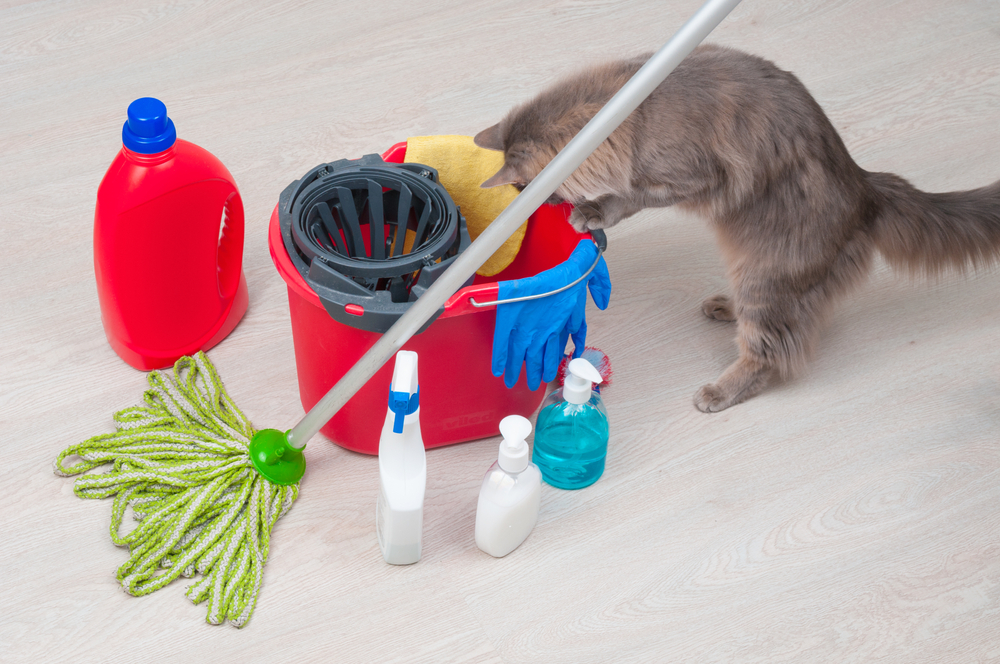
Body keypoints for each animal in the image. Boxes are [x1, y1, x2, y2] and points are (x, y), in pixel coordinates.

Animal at [474, 45, 1000, 410]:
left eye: (529, 187)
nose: (525, 206)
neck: (624, 107)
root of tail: (865, 187)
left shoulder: (688, 175)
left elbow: (628, 195)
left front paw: (593, 210)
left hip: (766, 278)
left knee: (771, 352)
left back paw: (718, 391)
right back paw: (722, 306)